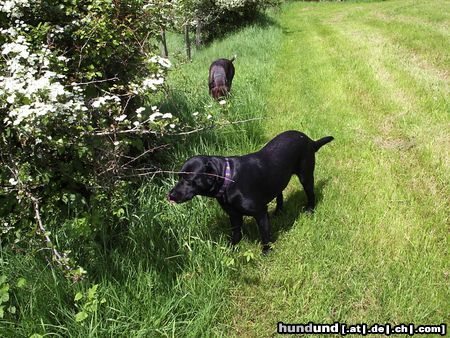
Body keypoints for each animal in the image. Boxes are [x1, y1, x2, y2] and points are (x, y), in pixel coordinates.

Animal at [167, 131, 332, 252]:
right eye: (178, 177)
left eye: (188, 180)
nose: (170, 195)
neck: (228, 179)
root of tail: (309, 140)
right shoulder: (234, 215)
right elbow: (236, 234)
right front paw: (230, 249)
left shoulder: (260, 213)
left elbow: (264, 235)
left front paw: (266, 252)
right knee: (279, 194)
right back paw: (278, 211)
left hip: (306, 176)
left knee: (311, 194)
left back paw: (310, 210)